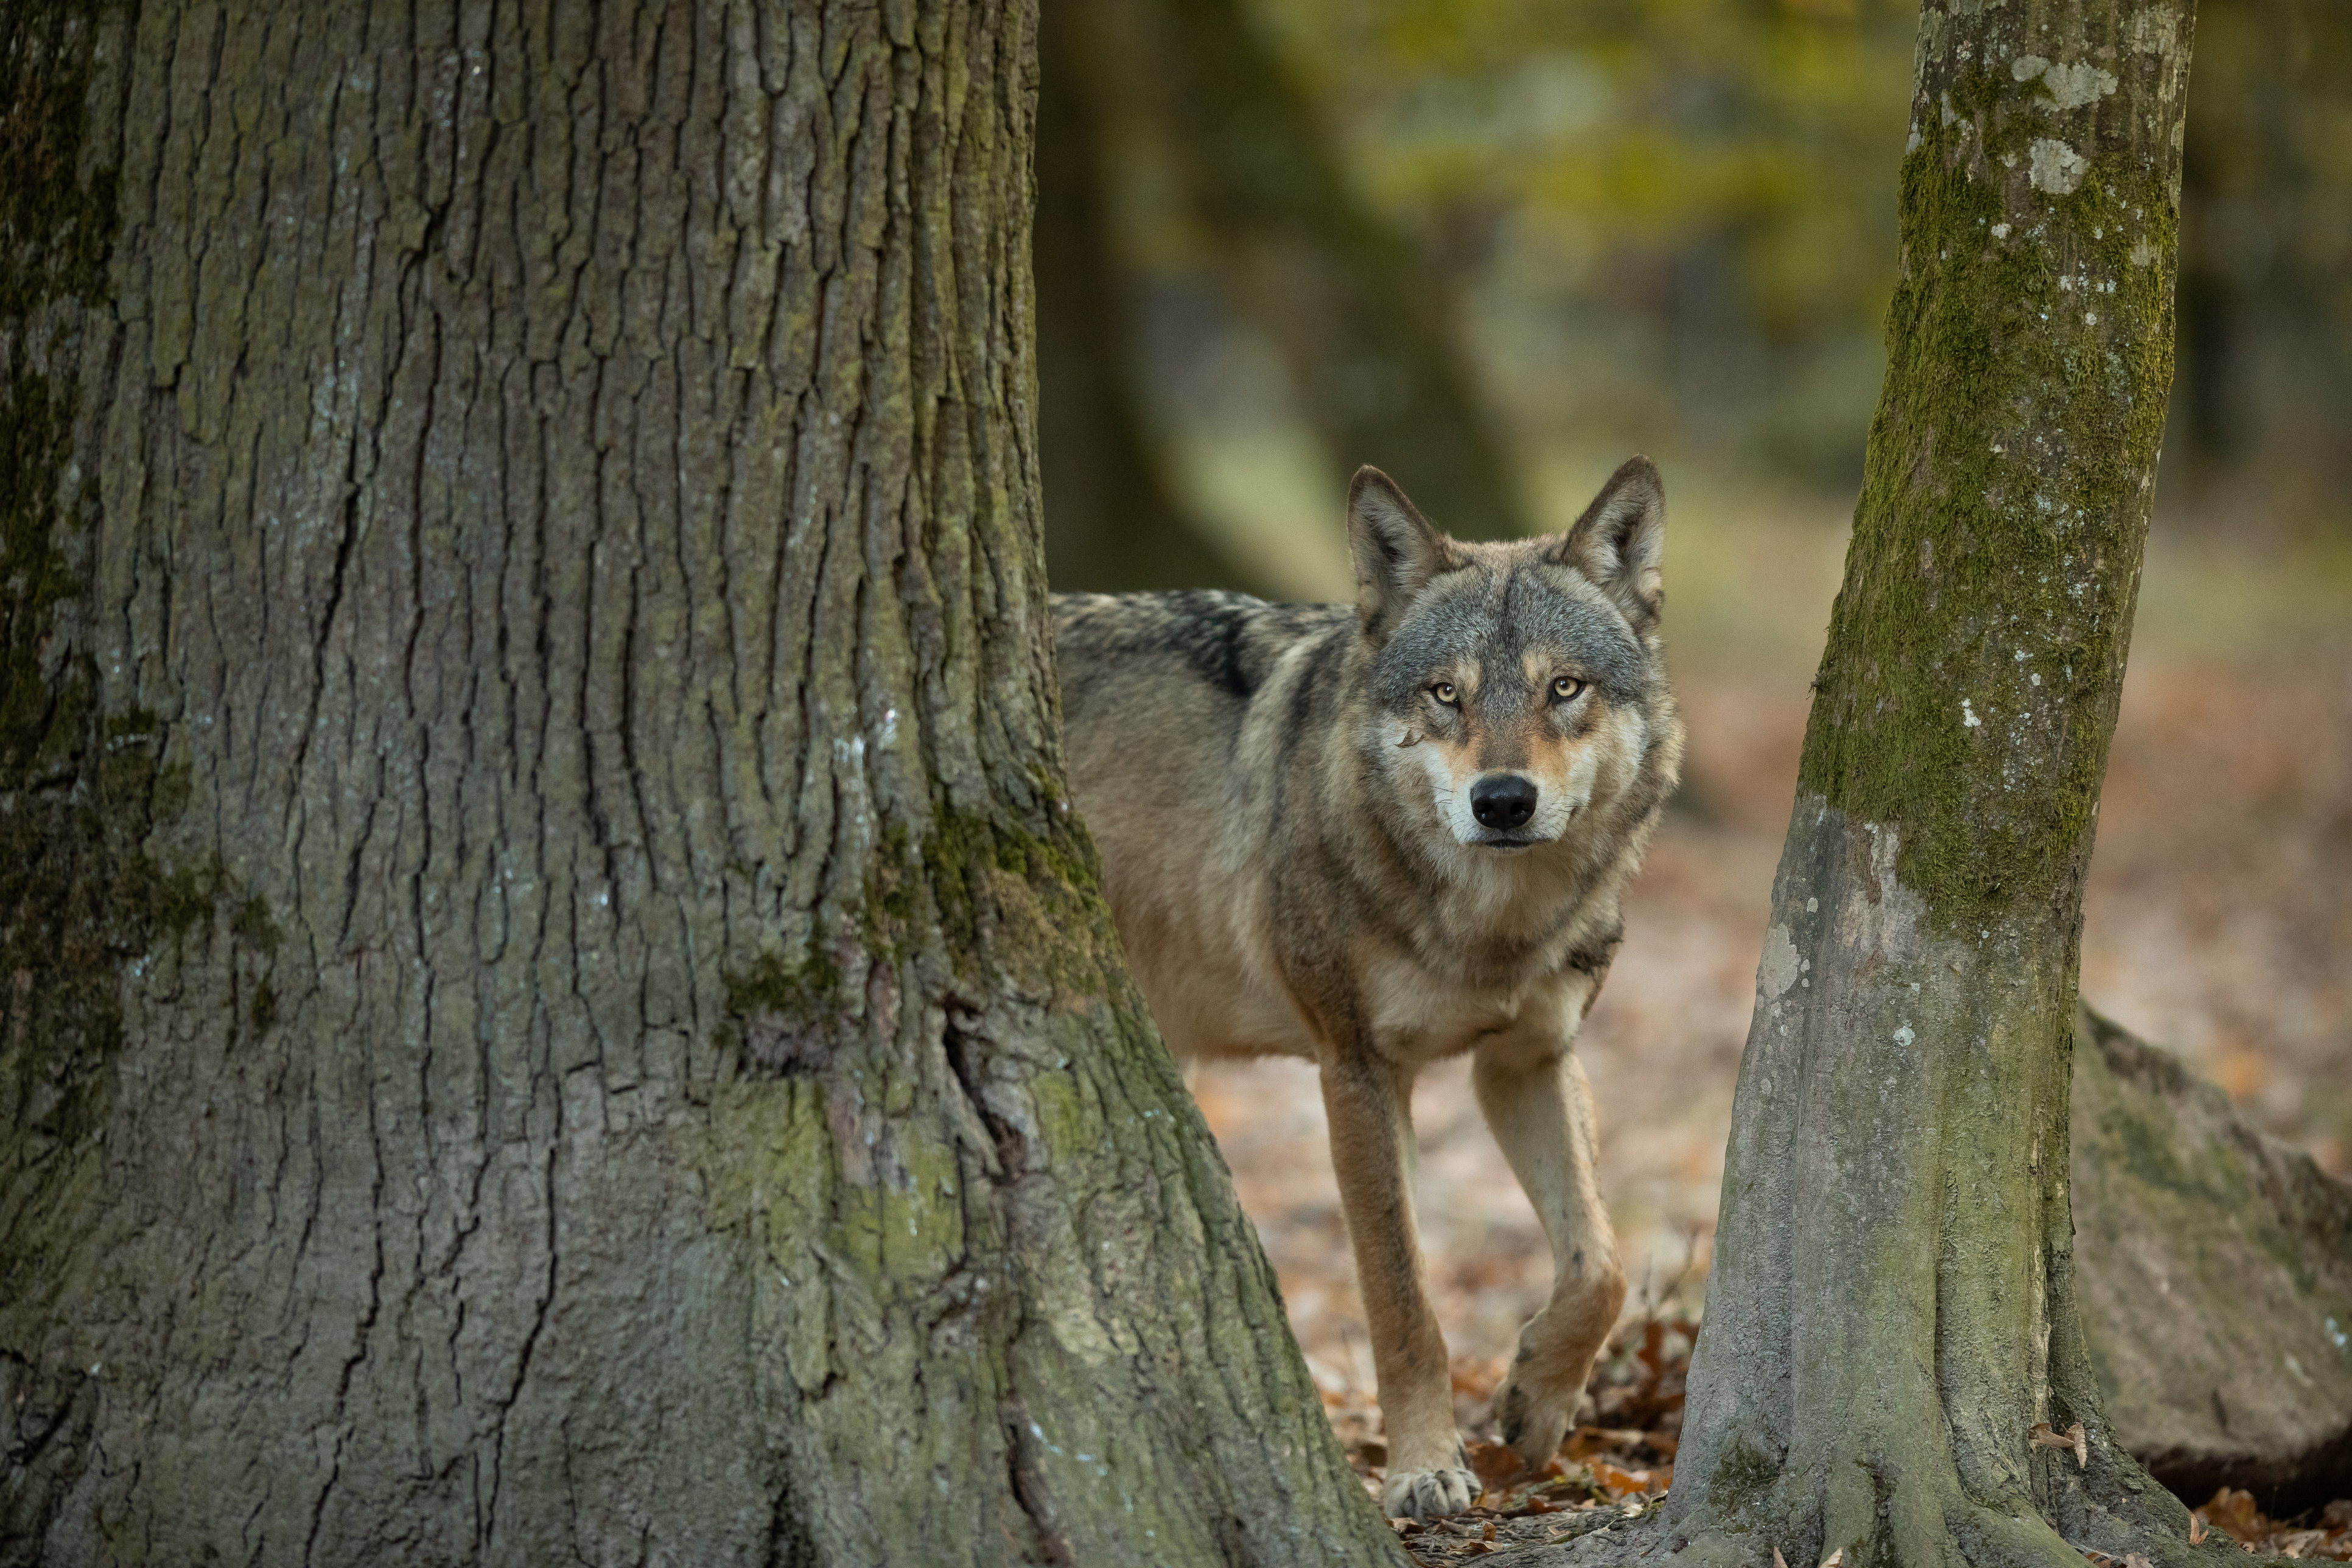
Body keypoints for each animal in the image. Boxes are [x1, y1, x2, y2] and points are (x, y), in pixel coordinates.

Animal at [1053, 459, 1684, 1520]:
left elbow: (1598, 1262)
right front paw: (1425, 1468)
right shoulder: (1357, 1071)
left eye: (1564, 687)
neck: (1491, 931)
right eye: (1445, 695)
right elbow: (1403, 1298)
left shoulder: (1527, 1060)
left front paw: (1537, 1406)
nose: (1502, 802)